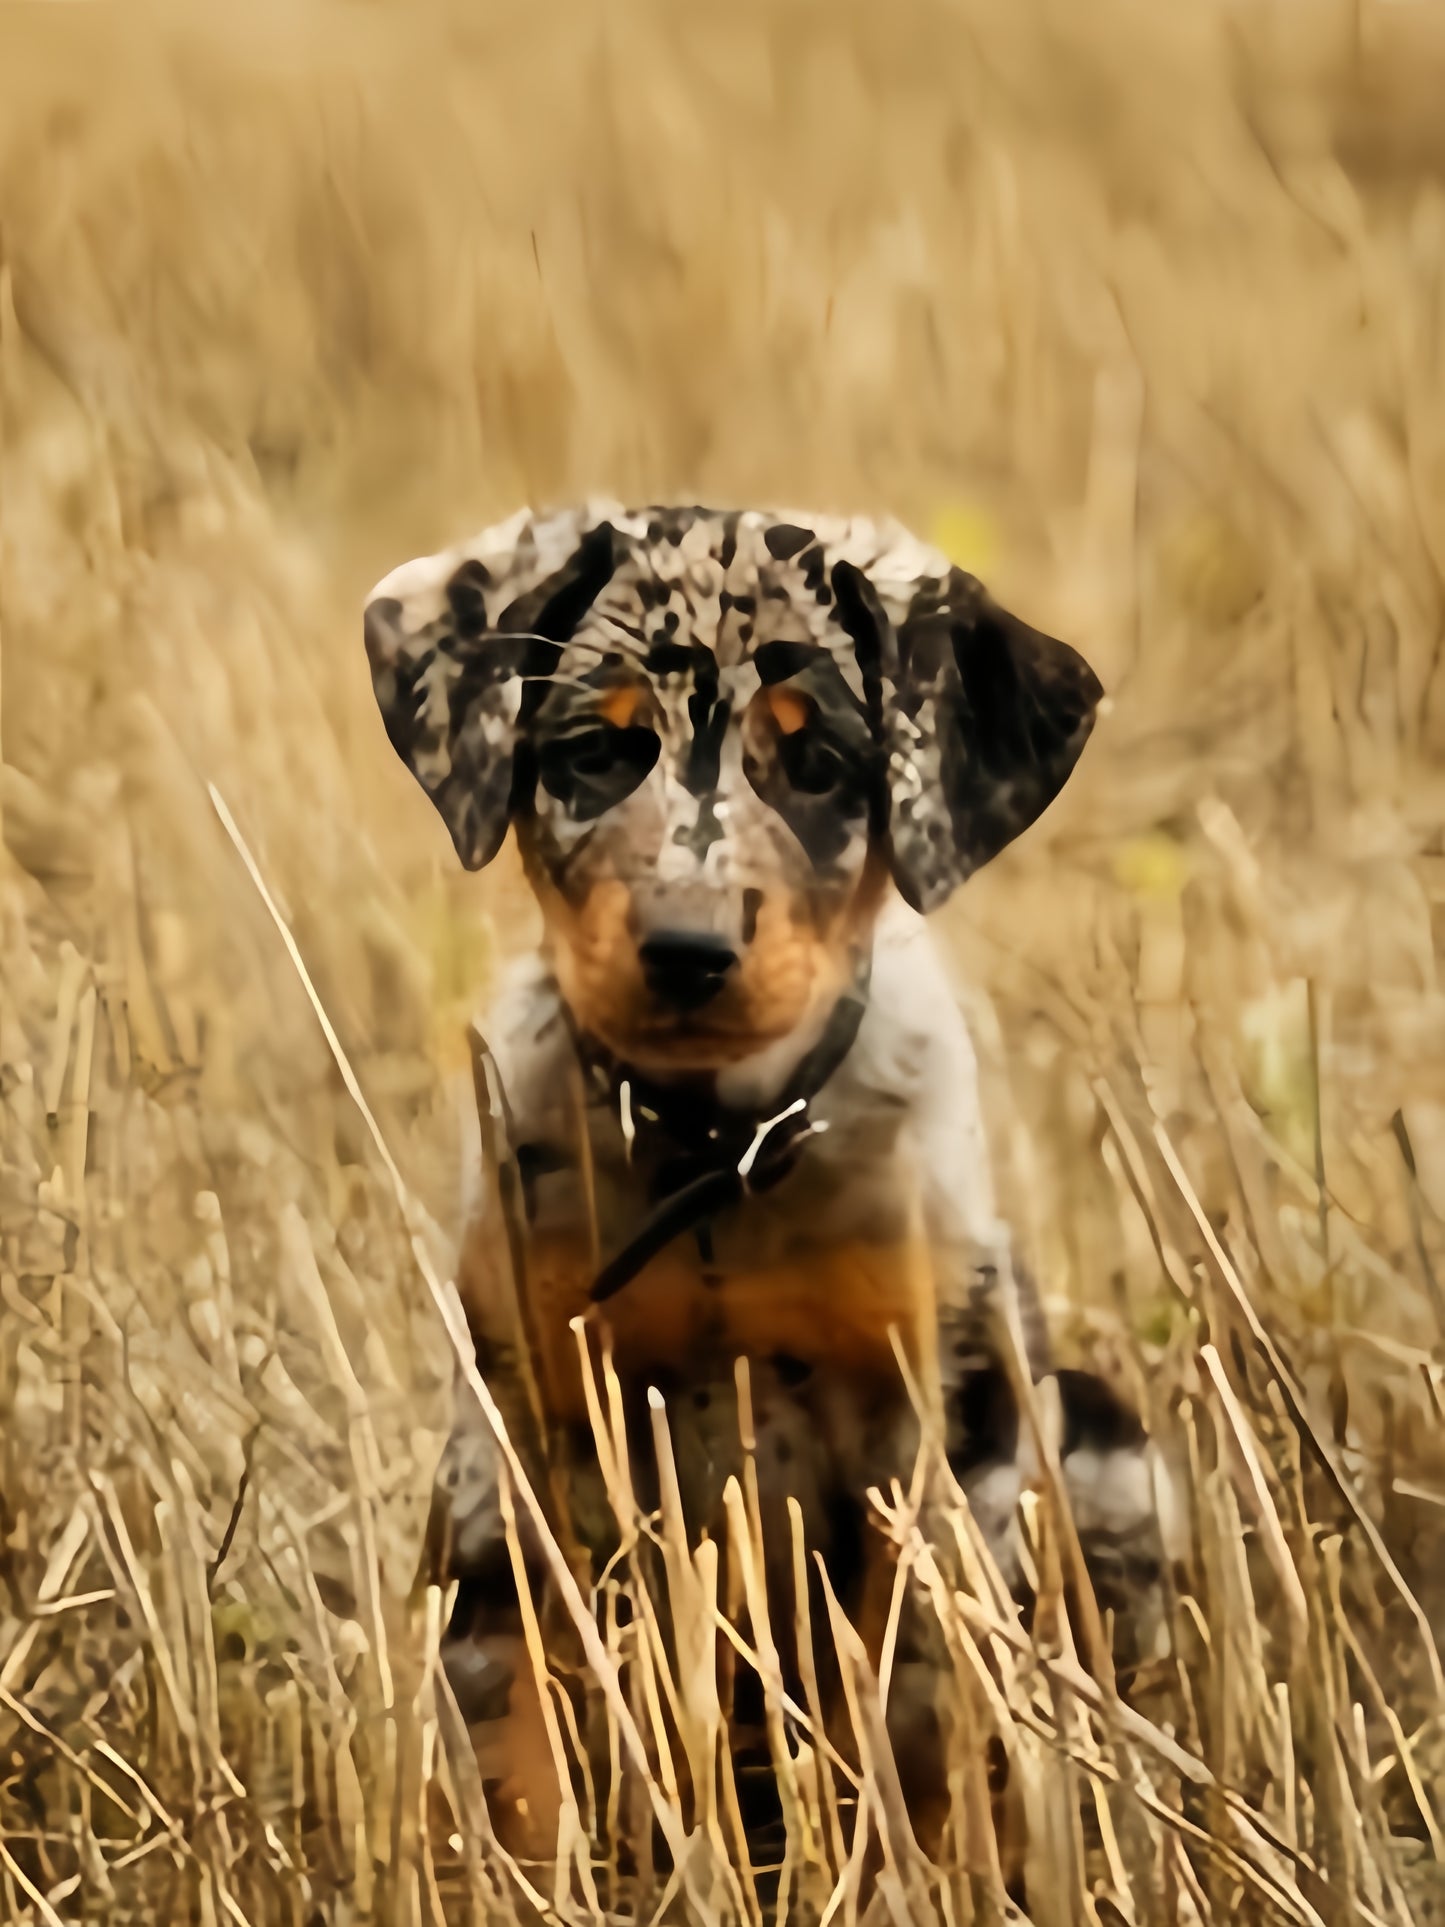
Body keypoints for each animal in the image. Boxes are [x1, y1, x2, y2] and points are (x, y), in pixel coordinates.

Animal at [364, 504, 1163, 1857]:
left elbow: (915, 1705)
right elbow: (512, 1731)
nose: (686, 951)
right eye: (595, 750)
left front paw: (914, 1859)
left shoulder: (932, 1422)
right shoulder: (517, 1431)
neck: (712, 1154)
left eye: (820, 765)